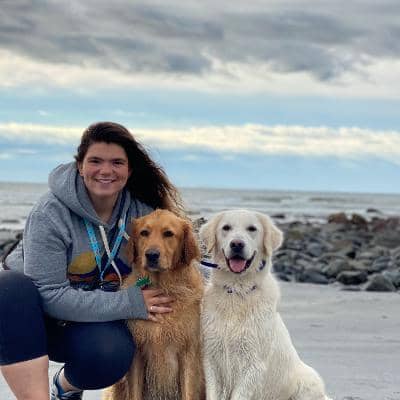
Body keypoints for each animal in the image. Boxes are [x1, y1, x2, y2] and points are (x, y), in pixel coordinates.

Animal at [105, 209, 205, 400]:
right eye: (144, 233)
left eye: (168, 234)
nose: (151, 255)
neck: (161, 286)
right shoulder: (137, 353)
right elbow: (134, 392)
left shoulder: (188, 353)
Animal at [200, 209, 331, 400]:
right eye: (226, 228)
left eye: (252, 229)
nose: (237, 244)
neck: (238, 291)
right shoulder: (211, 359)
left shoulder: (253, 364)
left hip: (308, 383)